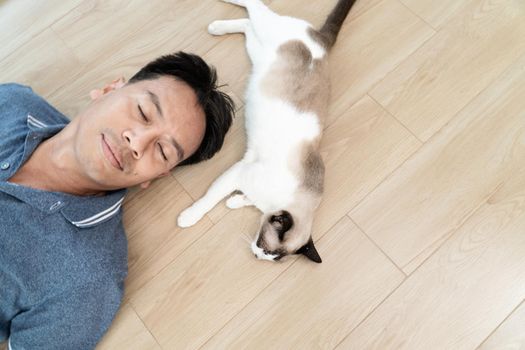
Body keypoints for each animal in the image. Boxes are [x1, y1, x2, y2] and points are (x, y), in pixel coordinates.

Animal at [177, 0, 356, 262]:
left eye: (272, 257)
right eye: (265, 247)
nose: (256, 255)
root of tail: (320, 41)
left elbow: (243, 200)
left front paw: (235, 202)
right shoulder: (238, 173)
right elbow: (209, 200)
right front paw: (188, 218)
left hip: (258, 50)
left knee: (247, 24)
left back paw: (218, 28)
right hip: (268, 29)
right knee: (254, 7)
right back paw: (216, 24)